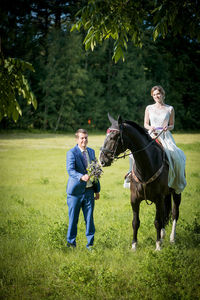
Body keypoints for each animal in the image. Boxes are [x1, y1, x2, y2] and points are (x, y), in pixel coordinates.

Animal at [99, 113, 181, 250]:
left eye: (115, 136)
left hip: (176, 192)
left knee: (174, 213)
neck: (146, 166)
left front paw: (157, 246)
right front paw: (134, 245)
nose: (102, 160)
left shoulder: (158, 198)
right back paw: (163, 235)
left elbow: (157, 221)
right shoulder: (134, 199)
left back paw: (172, 238)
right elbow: (135, 222)